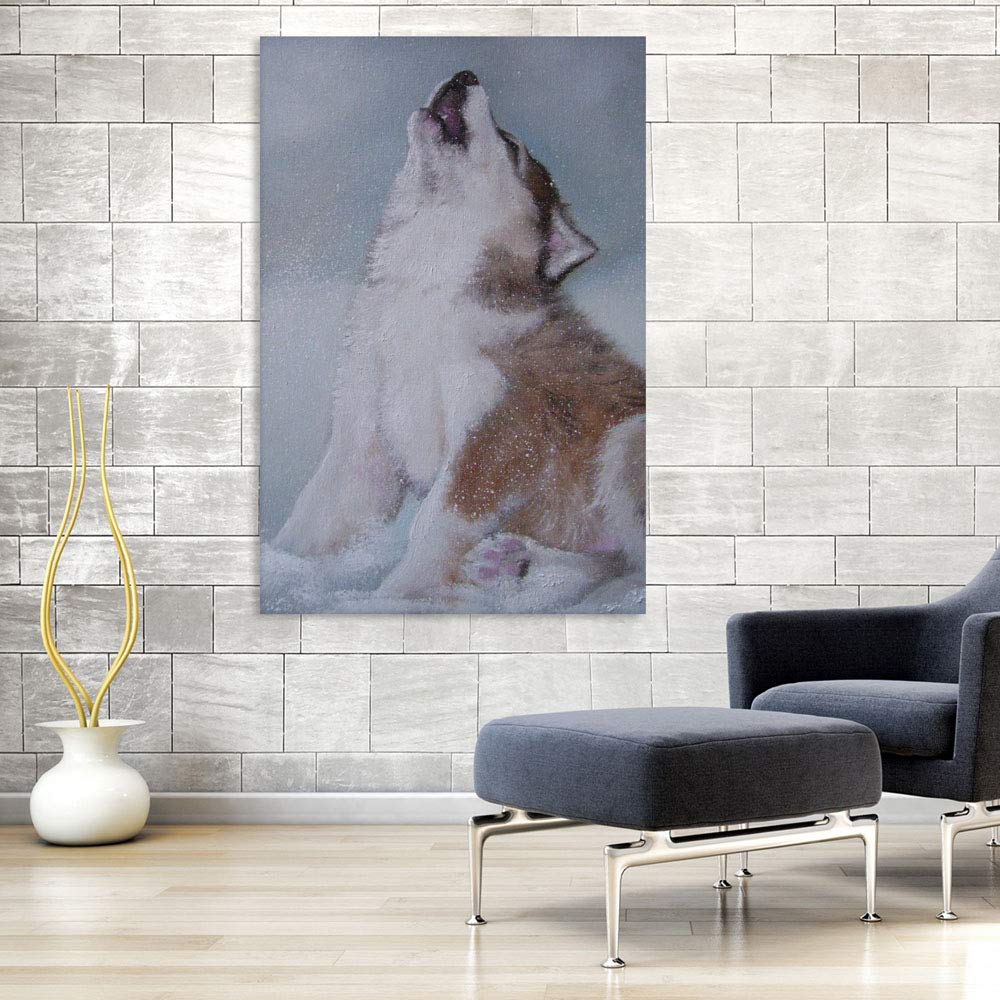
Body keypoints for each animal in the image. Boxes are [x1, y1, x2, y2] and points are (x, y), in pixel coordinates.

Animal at [275, 70, 645, 609]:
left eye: (511, 145)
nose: (464, 74)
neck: (425, 293)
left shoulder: (498, 430)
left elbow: (434, 523)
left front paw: (391, 598)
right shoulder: (363, 432)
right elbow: (319, 515)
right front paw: (281, 567)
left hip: (625, 443)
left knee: (634, 566)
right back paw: (516, 566)